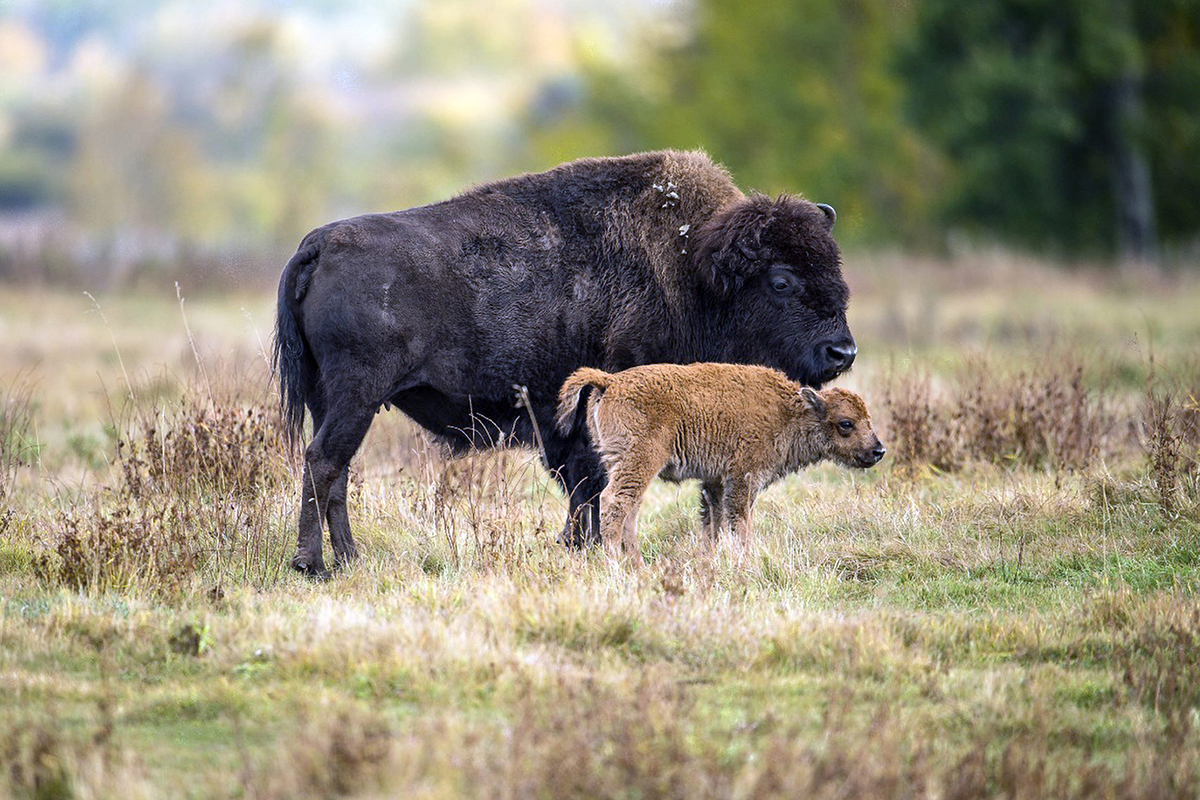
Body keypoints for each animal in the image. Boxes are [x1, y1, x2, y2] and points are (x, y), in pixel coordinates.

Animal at [273, 150, 856, 578]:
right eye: (781, 280)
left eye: (835, 269)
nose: (842, 352)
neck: (692, 268)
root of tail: (318, 244)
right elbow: (589, 483)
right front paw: (588, 547)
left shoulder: (568, 425)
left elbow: (582, 486)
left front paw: (580, 545)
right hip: (357, 394)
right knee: (324, 461)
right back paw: (315, 564)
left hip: (335, 399)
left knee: (334, 467)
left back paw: (347, 559)